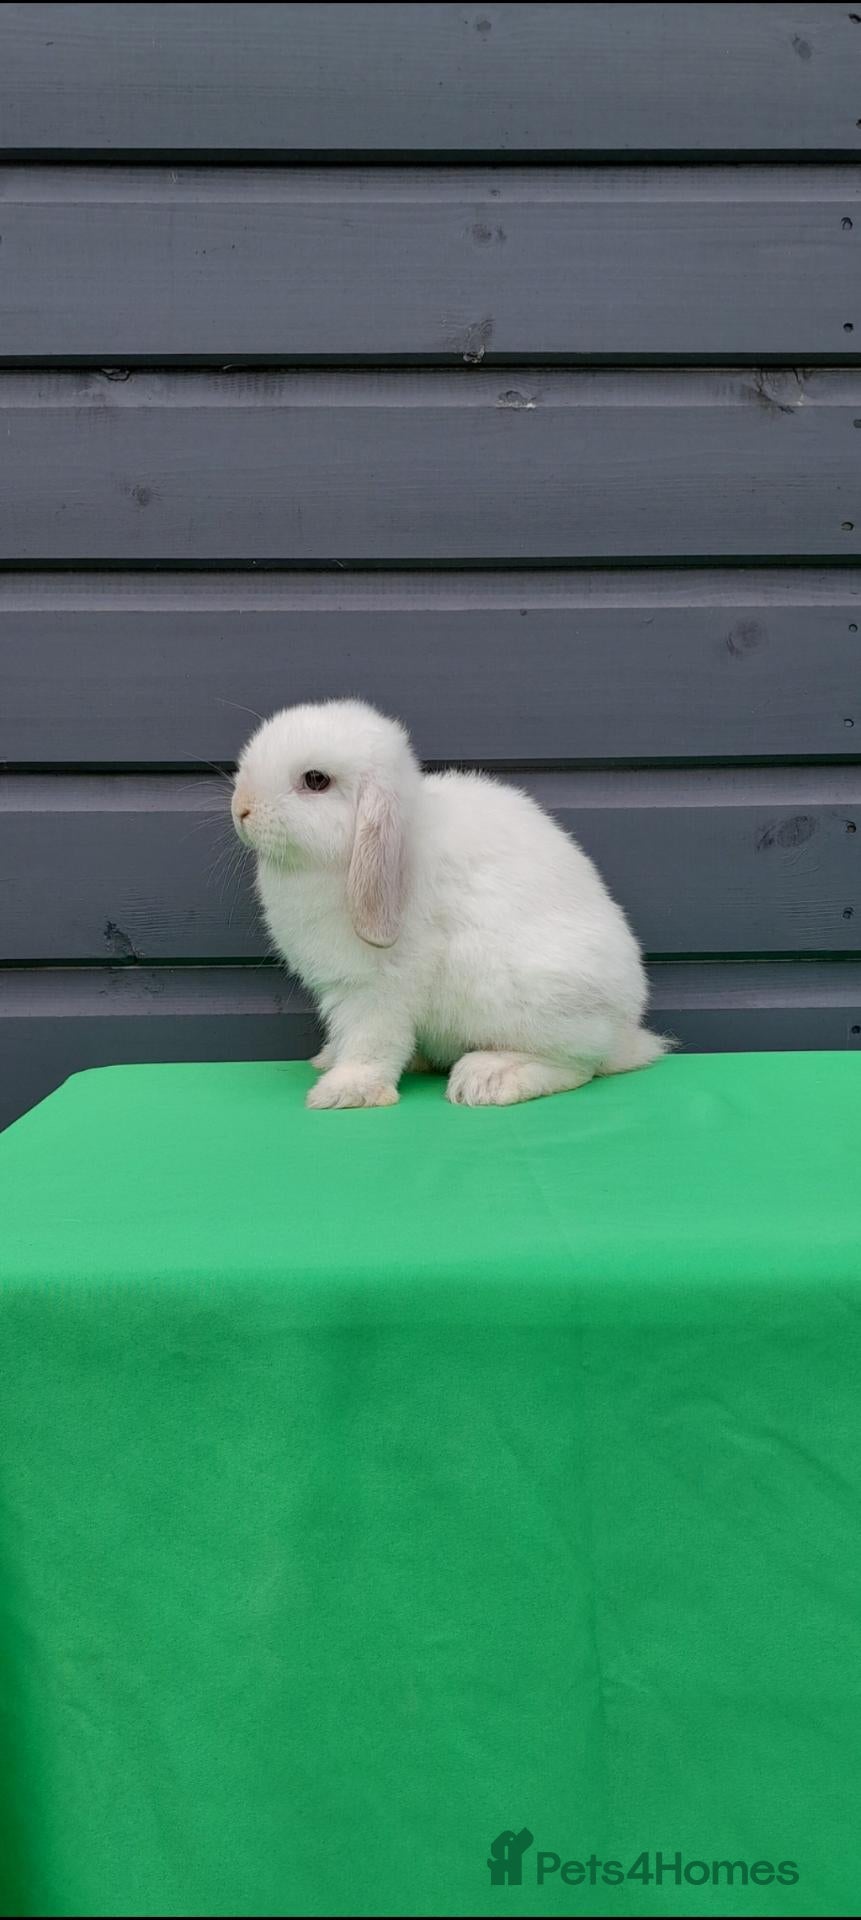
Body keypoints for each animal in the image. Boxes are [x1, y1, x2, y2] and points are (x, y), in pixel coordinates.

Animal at [231, 699, 668, 1109]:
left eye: (316, 780)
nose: (240, 809)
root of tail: (626, 1030)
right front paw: (328, 1061)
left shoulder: (379, 987)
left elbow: (371, 1040)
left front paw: (345, 1090)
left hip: (520, 996)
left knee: (580, 1064)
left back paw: (490, 1076)